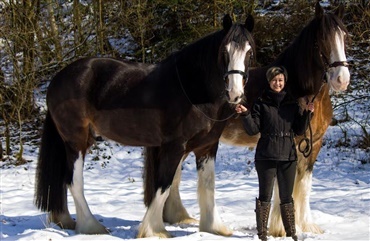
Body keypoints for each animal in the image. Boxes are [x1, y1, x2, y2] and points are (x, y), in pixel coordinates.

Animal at [34, 13, 254, 237]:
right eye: (224, 51)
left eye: (249, 51)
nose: (235, 94)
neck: (194, 90)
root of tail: (58, 78)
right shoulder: (175, 146)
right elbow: (163, 186)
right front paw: (154, 230)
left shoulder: (207, 147)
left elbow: (207, 185)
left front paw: (213, 227)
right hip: (75, 141)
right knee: (74, 181)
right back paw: (91, 226)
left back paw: (67, 221)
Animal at [164, 1, 350, 238]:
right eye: (323, 38)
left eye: (344, 36)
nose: (341, 79)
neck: (299, 90)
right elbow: (283, 188)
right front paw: (280, 228)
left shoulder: (313, 144)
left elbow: (305, 185)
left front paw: (308, 225)